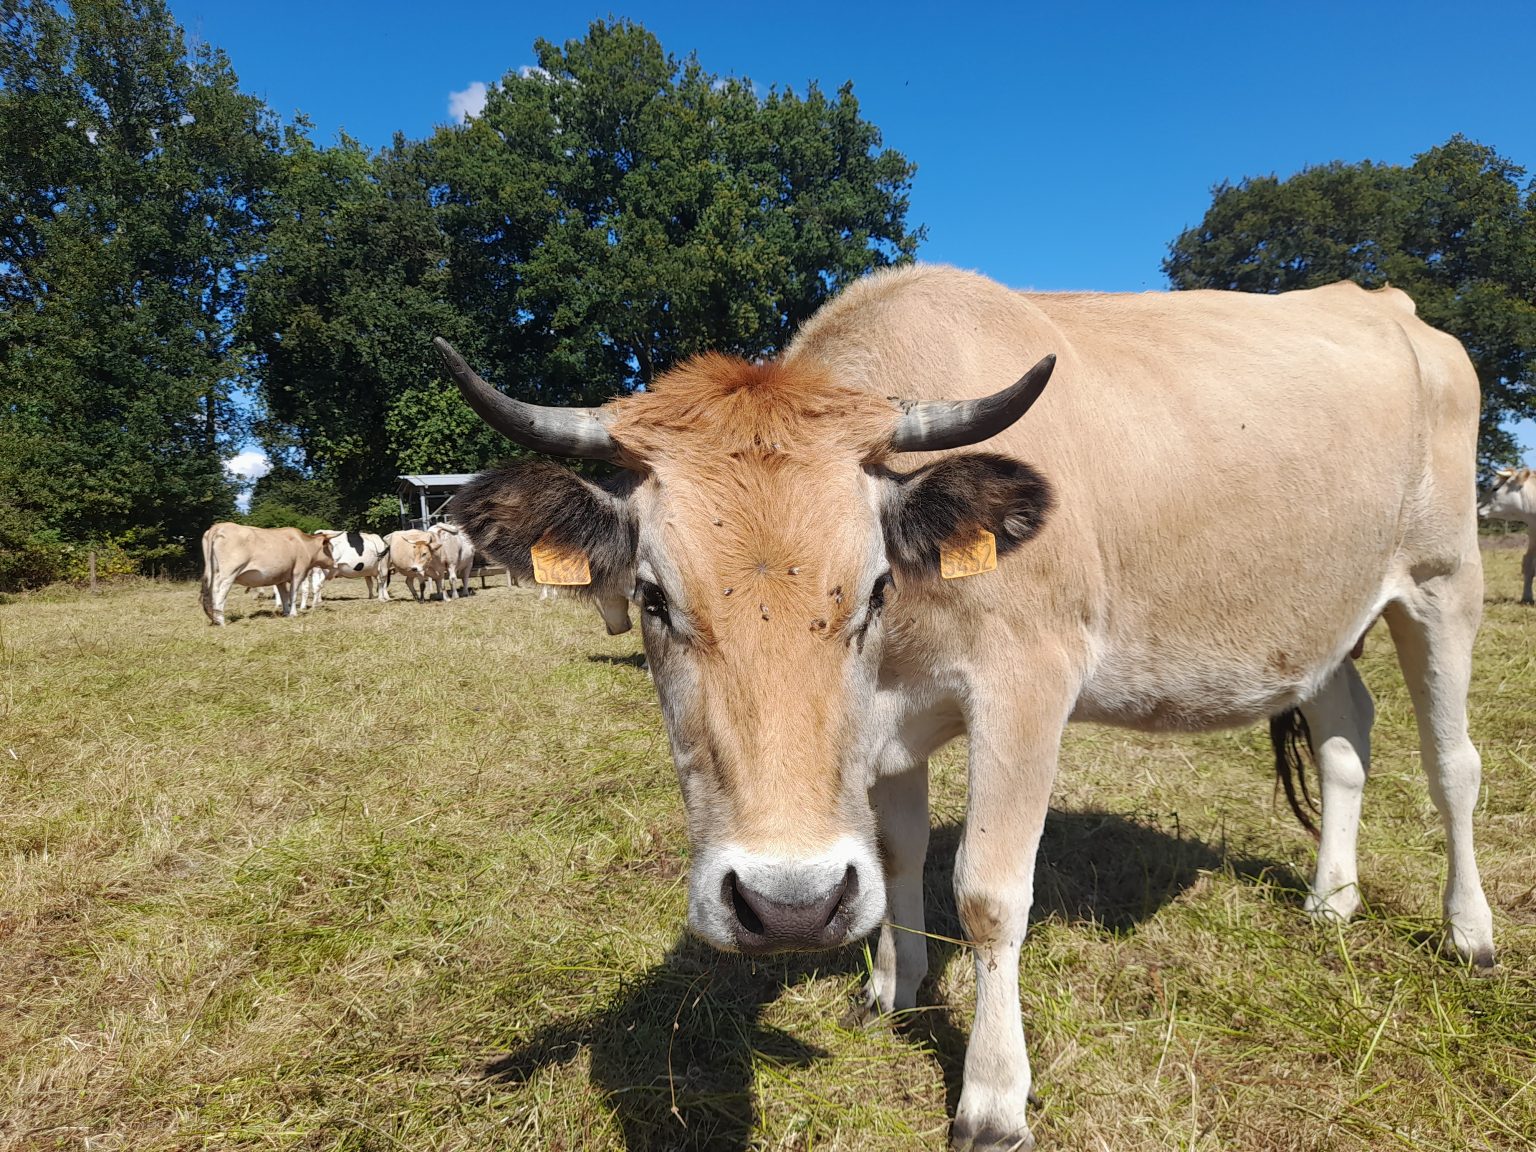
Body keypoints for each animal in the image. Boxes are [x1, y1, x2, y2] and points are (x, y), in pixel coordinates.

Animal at [200, 523, 334, 626]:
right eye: (330, 547)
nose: (334, 562)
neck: (304, 544)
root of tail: (219, 526)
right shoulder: (298, 573)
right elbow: (293, 594)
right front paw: (293, 614)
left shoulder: (281, 578)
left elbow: (284, 596)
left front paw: (286, 612)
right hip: (229, 573)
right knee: (220, 592)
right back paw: (221, 621)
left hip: (214, 572)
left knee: (212, 590)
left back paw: (215, 619)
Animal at [436, 265, 1494, 1151]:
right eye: (653, 597)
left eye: (872, 587)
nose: (788, 907)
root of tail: (1389, 303)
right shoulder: (887, 732)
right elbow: (898, 854)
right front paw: (889, 989)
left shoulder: (1028, 680)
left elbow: (987, 889)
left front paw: (992, 1096)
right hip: (1322, 620)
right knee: (1347, 734)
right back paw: (1332, 900)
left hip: (1444, 581)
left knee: (1454, 764)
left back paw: (1470, 932)